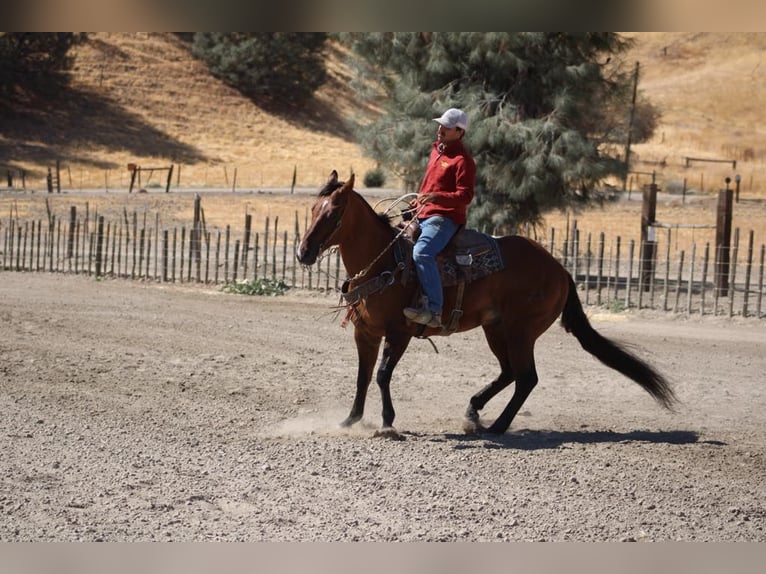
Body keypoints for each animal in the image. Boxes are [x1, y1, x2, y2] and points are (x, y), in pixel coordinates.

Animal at [296, 170, 677, 439]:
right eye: (313, 209)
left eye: (334, 213)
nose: (303, 253)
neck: (385, 261)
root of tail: (560, 270)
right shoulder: (366, 333)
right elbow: (362, 376)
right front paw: (350, 420)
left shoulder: (399, 331)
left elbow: (382, 374)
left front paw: (388, 422)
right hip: (496, 329)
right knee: (510, 373)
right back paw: (473, 411)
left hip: (521, 331)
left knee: (526, 377)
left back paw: (497, 426)